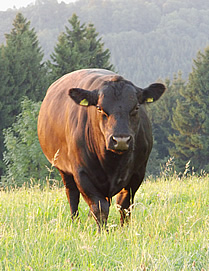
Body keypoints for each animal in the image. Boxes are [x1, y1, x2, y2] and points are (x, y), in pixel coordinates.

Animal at [38, 69, 165, 231]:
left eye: (136, 107)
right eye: (99, 108)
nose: (121, 140)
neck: (113, 162)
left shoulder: (138, 172)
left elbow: (124, 205)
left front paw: (124, 229)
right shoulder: (82, 173)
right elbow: (99, 207)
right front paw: (102, 231)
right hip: (63, 168)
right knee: (72, 195)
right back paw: (75, 222)